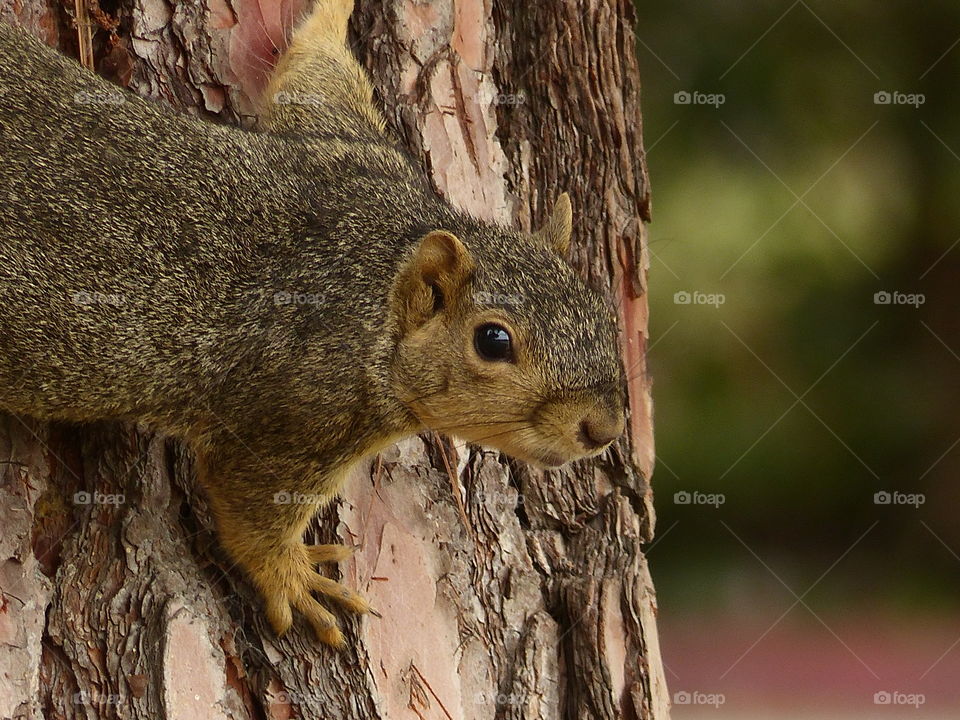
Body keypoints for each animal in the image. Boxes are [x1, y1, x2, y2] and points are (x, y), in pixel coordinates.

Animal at [0, 0, 628, 648]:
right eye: (493, 340)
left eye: (601, 309)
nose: (603, 430)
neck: (376, 274)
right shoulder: (294, 415)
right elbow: (248, 502)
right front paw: (293, 578)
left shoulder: (347, 148)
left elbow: (311, 73)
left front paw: (335, 13)